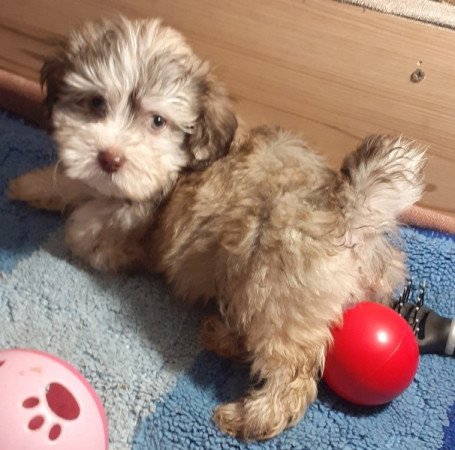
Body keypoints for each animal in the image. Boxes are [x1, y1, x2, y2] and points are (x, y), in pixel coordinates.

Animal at [8, 16, 428, 440]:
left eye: (157, 121)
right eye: (95, 102)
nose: (109, 157)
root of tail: (352, 213)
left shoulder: (132, 215)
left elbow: (83, 231)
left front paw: (94, 237)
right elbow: (73, 183)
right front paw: (31, 185)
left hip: (273, 283)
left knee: (292, 370)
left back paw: (252, 415)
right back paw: (223, 336)